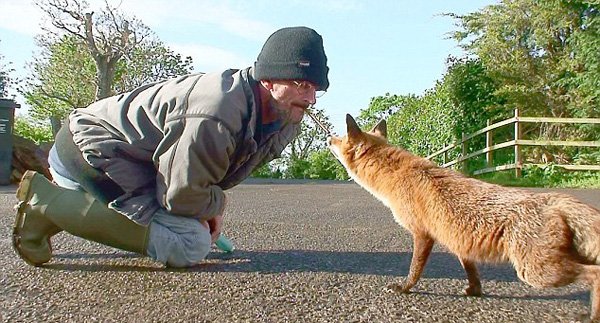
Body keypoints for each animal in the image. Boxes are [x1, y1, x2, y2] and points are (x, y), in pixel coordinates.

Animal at [330, 114, 600, 322]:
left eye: (340, 138)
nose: (328, 137)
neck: (396, 175)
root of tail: (558, 200)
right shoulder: (460, 243)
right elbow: (472, 272)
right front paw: (474, 291)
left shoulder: (422, 234)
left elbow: (414, 270)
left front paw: (404, 288)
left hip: (535, 272)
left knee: (595, 274)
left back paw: (592, 315)